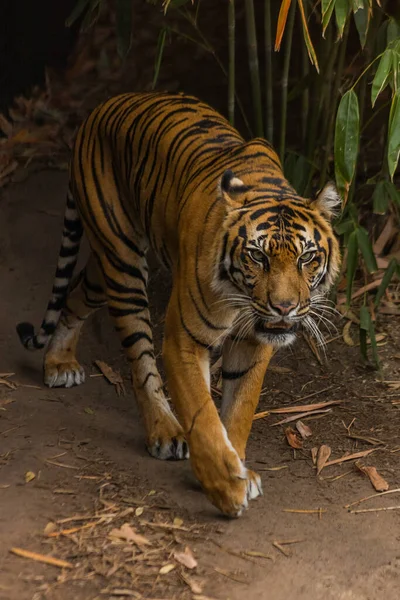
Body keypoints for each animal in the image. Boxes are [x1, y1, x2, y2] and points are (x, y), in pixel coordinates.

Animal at [16, 91, 340, 516]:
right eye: (257, 256)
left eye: (307, 258)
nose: (284, 307)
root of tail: (99, 109)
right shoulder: (185, 338)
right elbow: (202, 415)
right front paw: (225, 487)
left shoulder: (254, 342)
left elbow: (239, 410)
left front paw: (238, 467)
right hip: (123, 262)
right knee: (140, 360)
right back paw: (164, 429)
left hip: (104, 267)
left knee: (74, 294)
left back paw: (59, 361)